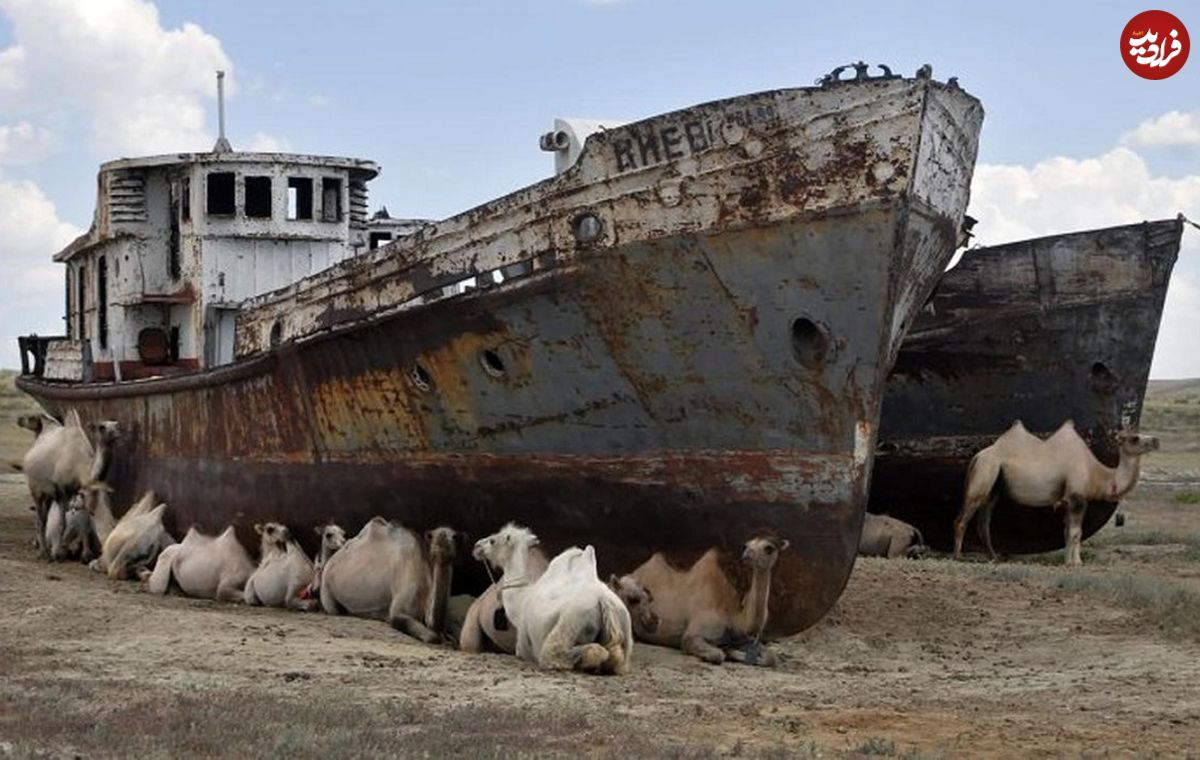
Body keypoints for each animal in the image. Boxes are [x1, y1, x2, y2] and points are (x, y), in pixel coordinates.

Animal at [319, 516, 463, 638]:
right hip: (326, 587)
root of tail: (330, 561)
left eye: (454, 538)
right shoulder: (398, 611)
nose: (443, 546)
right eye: (433, 538)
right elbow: (432, 637)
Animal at [472, 521, 633, 677]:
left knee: (556, 654)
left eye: (493, 540)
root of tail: (605, 601)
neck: (522, 602)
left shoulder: (522, 646)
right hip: (625, 625)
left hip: (570, 622)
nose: (477, 545)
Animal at [619, 530, 787, 667]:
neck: (732, 614)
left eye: (769, 548)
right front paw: (727, 652)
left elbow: (772, 657)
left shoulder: (743, 638)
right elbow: (716, 654)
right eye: (746, 546)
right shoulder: (693, 634)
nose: (747, 555)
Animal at [950, 417, 1156, 566]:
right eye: (1135, 438)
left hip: (994, 487)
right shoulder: (1077, 497)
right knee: (962, 519)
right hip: (985, 473)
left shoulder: (1068, 501)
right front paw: (1076, 563)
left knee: (983, 522)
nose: (1156, 441)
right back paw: (958, 556)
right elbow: (1076, 532)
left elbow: (1066, 532)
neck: (1095, 472)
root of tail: (977, 456)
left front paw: (1068, 560)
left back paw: (994, 557)